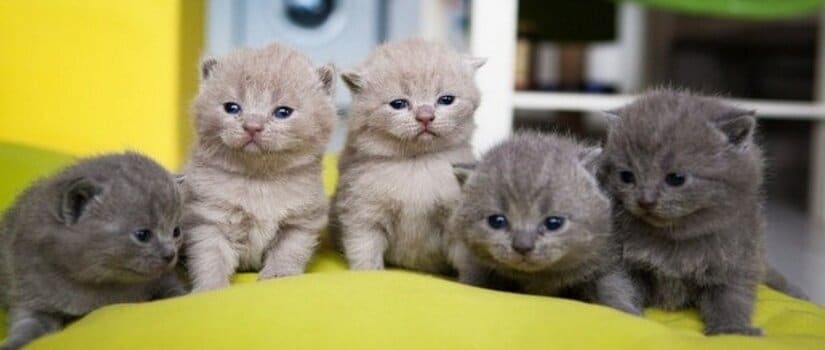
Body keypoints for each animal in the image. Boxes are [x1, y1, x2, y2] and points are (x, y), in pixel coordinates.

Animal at [0, 153, 183, 350]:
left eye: (176, 231)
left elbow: (174, 289)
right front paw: (12, 343)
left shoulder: (164, 278)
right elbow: (28, 325)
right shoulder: (29, 291)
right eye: (142, 235)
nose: (170, 254)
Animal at [180, 42, 334, 292]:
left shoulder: (301, 221)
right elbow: (210, 257)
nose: (253, 126)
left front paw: (278, 275)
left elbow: (288, 251)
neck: (260, 179)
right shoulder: (209, 217)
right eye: (232, 108)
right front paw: (211, 287)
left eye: (283, 112)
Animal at [328, 38, 482, 274]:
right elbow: (364, 248)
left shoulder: (455, 215)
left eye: (446, 100)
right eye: (398, 104)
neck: (416, 163)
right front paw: (368, 273)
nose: (425, 116)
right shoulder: (362, 212)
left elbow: (466, 257)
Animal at [448, 132, 640, 314]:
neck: (538, 279)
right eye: (497, 221)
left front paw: (626, 310)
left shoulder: (606, 259)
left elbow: (613, 286)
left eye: (554, 223)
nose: (523, 246)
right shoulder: (475, 264)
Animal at [600, 88, 784, 336]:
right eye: (626, 176)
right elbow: (617, 285)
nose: (646, 200)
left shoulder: (739, 258)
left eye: (676, 178)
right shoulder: (619, 257)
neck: (673, 240)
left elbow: (732, 297)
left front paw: (732, 330)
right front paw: (626, 316)